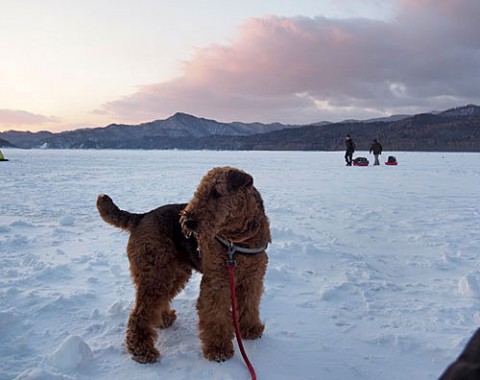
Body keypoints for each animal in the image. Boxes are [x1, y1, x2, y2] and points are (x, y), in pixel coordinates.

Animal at [97, 168, 270, 364]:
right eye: (200, 191)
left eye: (216, 192)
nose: (188, 222)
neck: (239, 240)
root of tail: (141, 217)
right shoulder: (217, 281)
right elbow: (216, 315)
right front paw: (218, 350)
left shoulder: (253, 279)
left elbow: (250, 305)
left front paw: (251, 329)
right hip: (155, 273)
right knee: (139, 314)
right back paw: (143, 351)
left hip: (173, 273)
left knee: (158, 303)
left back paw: (163, 319)